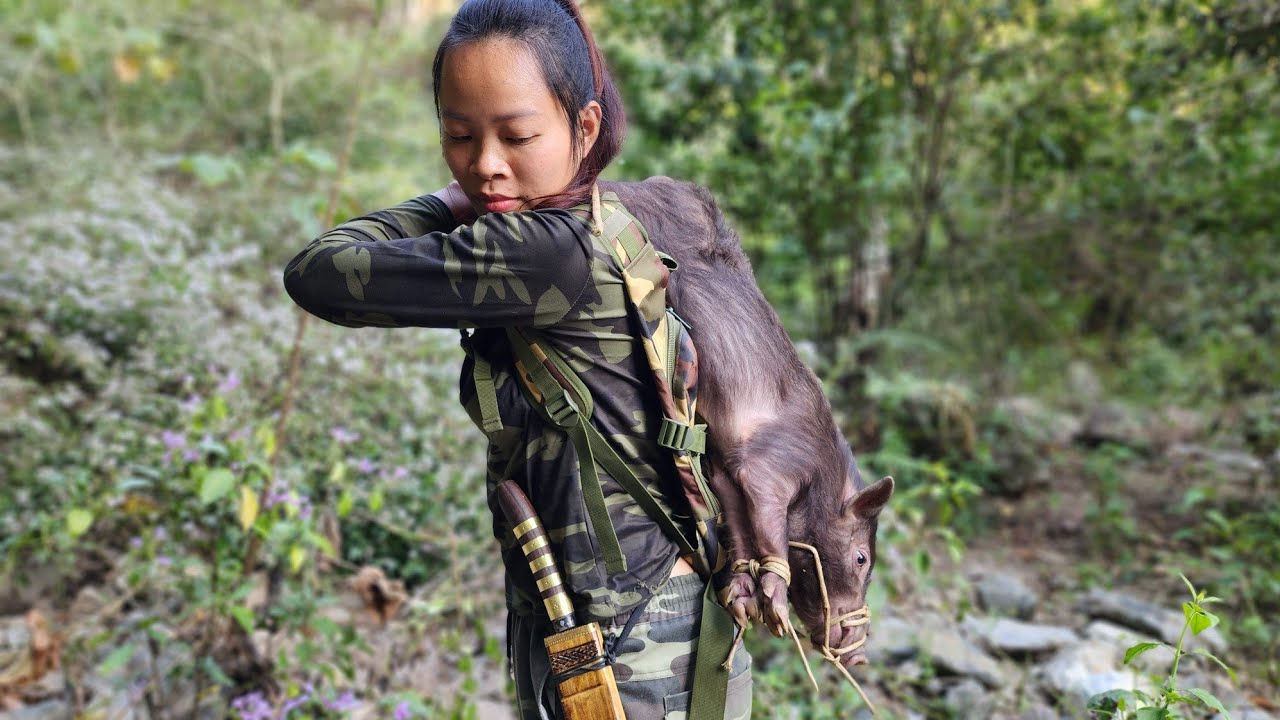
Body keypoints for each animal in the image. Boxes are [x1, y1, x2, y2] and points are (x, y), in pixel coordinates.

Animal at [601, 177, 895, 667]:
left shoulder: (725, 469)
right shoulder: (771, 464)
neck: (823, 477)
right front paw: (774, 610)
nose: (859, 656)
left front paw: (744, 606)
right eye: (861, 559)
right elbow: (769, 523)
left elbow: (737, 521)